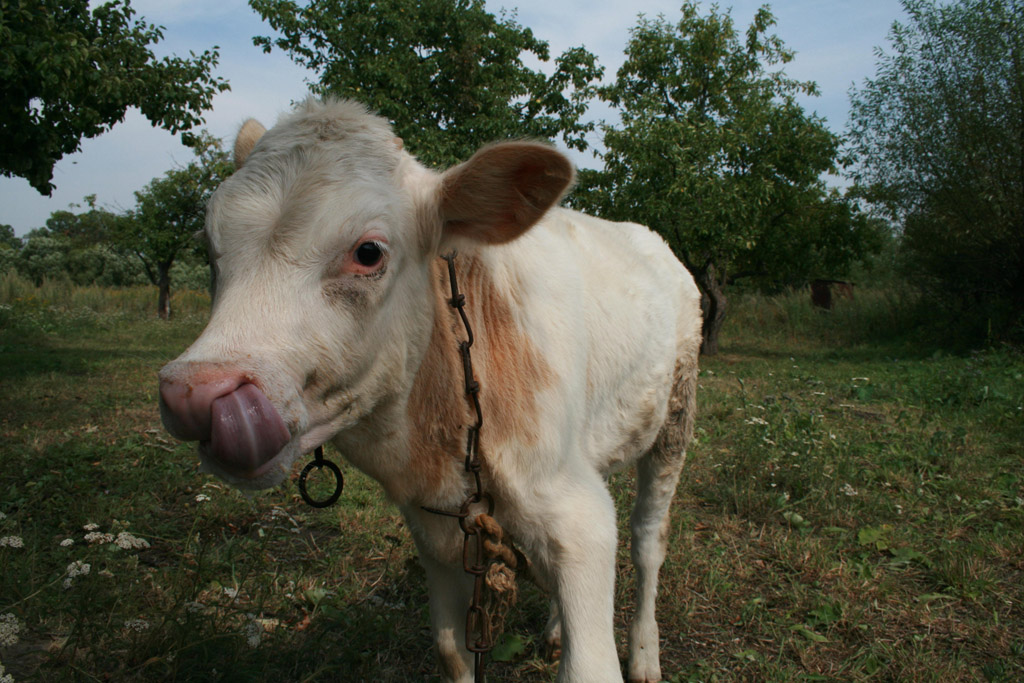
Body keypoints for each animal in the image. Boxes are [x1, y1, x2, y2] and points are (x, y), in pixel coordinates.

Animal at [159, 97, 704, 683]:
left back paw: (645, 651)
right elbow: (450, 647)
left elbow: (591, 662)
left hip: (675, 417)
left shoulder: (578, 516)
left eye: (369, 252)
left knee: (649, 539)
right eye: (208, 247)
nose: (196, 394)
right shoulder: (437, 532)